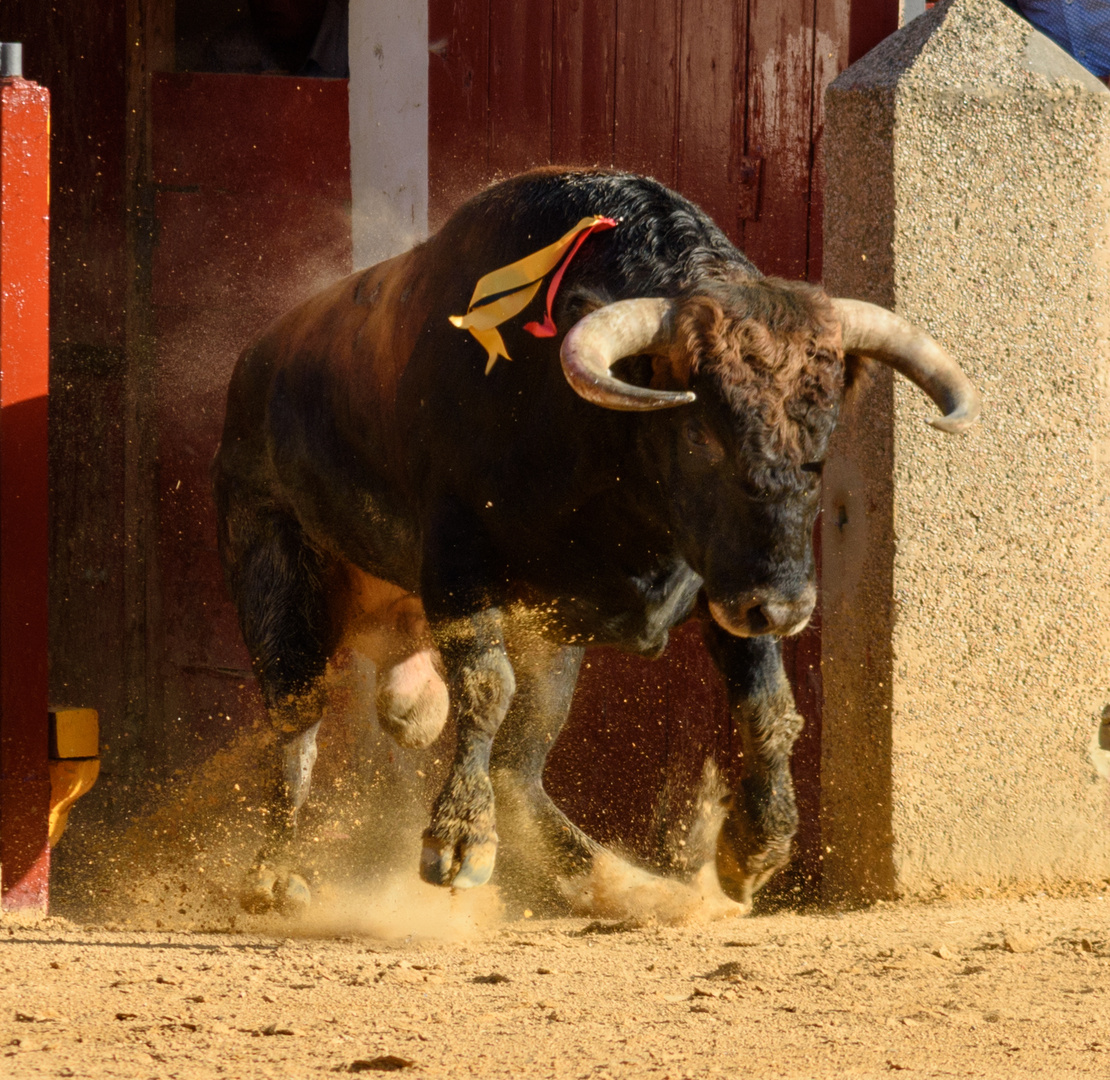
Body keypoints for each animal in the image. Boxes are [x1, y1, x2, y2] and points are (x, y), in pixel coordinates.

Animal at [209, 166, 981, 910]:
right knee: (298, 727)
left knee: (518, 766)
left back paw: (619, 884)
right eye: (700, 434)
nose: (788, 608)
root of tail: (254, 361)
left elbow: (766, 706)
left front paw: (755, 852)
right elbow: (484, 685)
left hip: (554, 640)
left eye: (822, 440)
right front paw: (457, 841)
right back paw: (273, 879)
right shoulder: (460, 563)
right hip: (275, 575)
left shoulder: (724, 587)